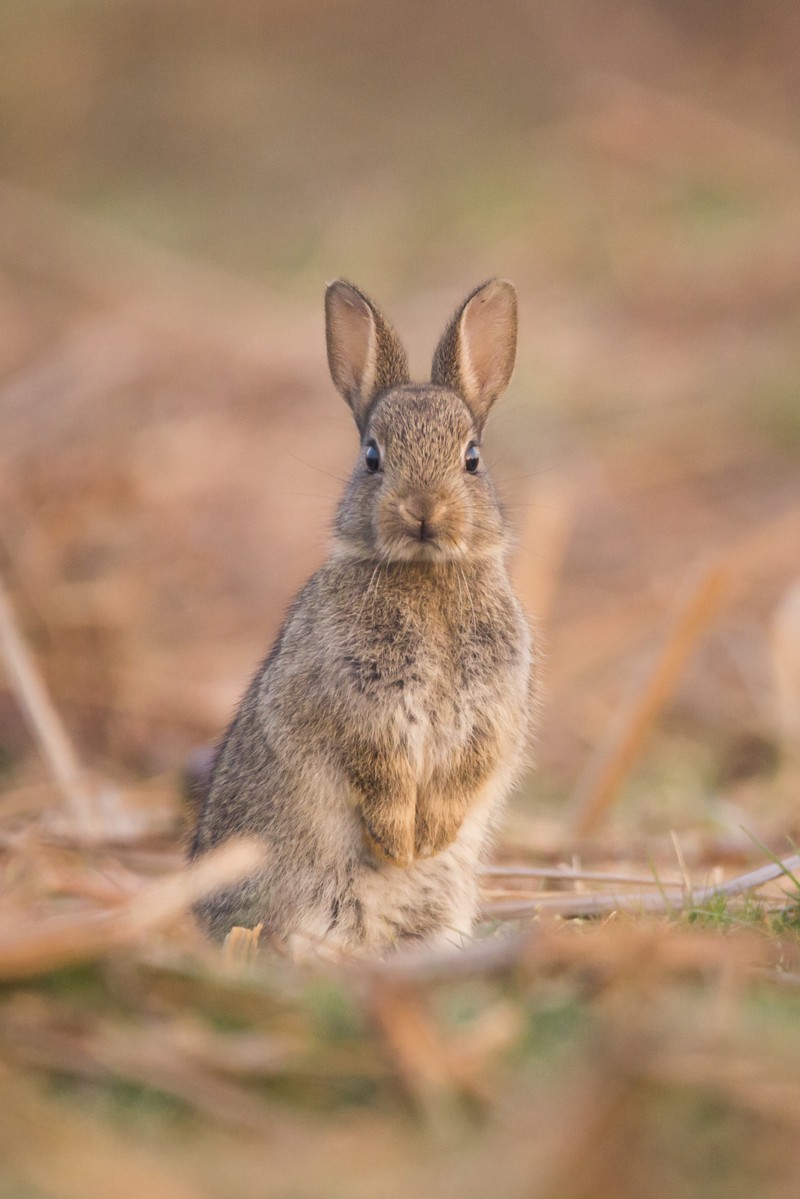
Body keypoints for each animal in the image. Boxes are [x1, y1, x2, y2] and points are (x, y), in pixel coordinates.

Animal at [190, 275, 534, 949]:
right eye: (372, 457)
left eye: (472, 458)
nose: (423, 510)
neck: (425, 573)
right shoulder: (356, 705)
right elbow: (378, 770)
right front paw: (400, 844)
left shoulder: (491, 711)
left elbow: (467, 770)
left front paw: (428, 840)